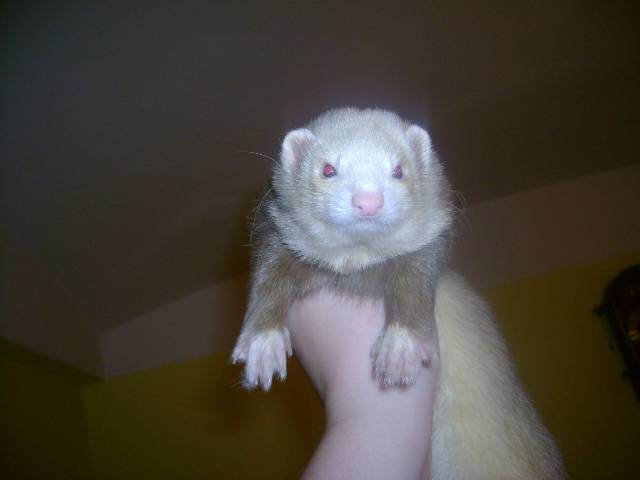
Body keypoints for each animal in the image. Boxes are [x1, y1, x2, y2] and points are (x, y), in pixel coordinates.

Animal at [232, 108, 565, 479]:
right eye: (328, 169)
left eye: (398, 169)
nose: (368, 201)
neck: (357, 267)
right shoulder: (278, 239)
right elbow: (269, 278)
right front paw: (263, 343)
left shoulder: (424, 253)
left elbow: (413, 283)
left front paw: (400, 347)